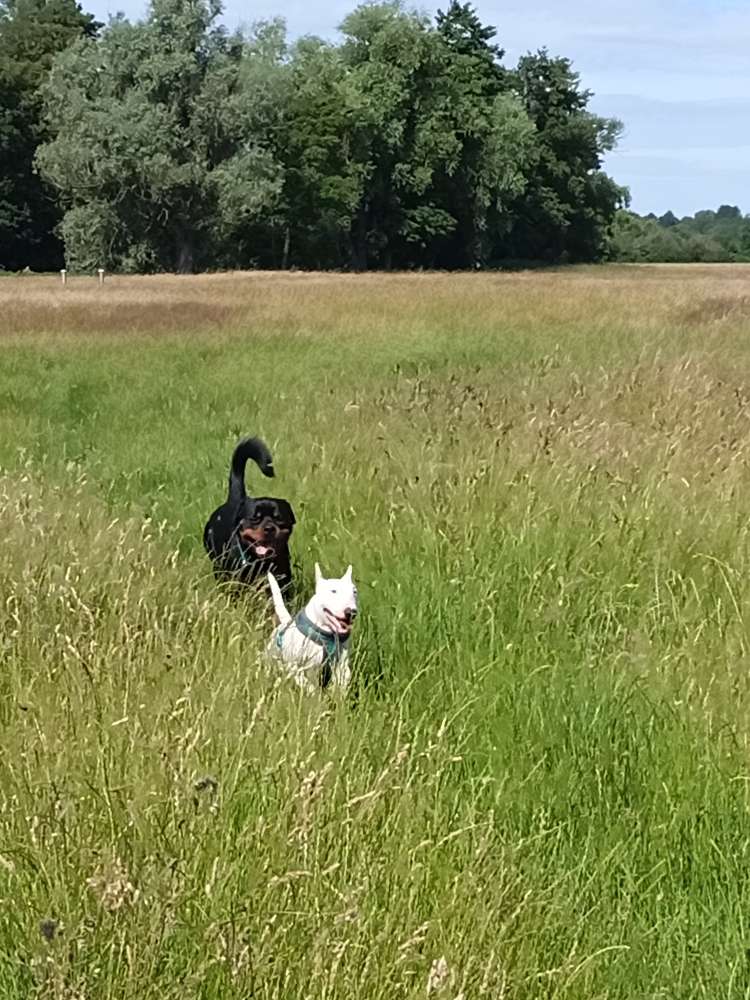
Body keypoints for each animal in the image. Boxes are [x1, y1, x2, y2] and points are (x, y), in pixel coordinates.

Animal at [268, 564, 362, 696]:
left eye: (354, 592)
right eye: (333, 591)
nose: (351, 612)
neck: (326, 636)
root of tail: (286, 622)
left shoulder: (341, 665)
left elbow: (344, 679)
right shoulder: (295, 667)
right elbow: (307, 685)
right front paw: (315, 696)